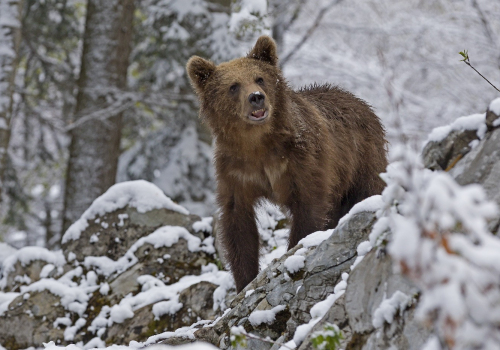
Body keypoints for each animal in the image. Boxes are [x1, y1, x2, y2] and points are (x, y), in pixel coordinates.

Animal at [187, 35, 386, 292]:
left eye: (259, 78)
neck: (258, 145)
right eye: (233, 86)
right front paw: (244, 281)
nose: (256, 97)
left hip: (362, 161)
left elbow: (308, 209)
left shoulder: (303, 162)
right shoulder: (235, 173)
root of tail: (361, 102)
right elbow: (238, 226)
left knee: (367, 190)